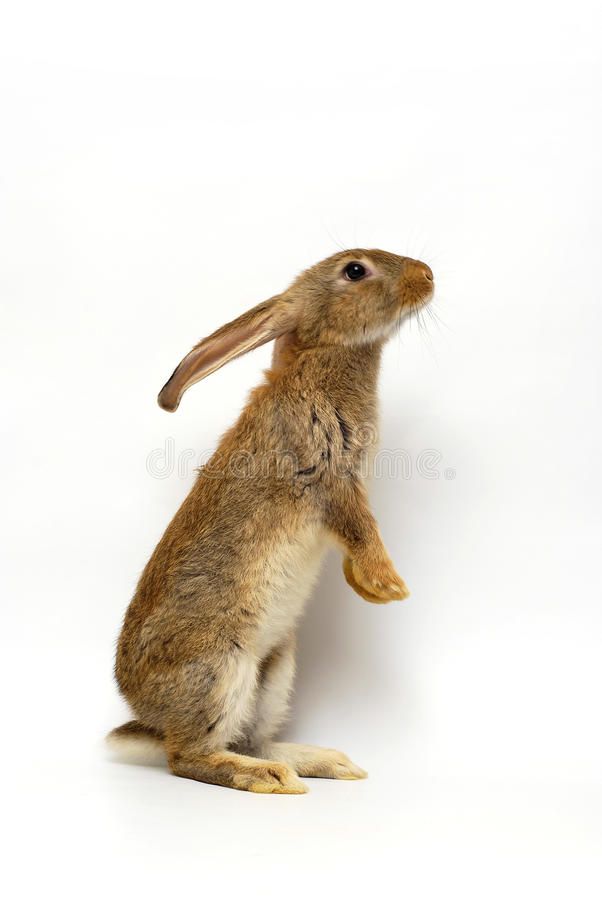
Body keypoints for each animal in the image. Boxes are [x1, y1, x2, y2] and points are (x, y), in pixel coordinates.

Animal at [108, 250, 432, 792]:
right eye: (355, 270)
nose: (427, 276)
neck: (319, 360)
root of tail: (150, 717)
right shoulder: (326, 470)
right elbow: (360, 527)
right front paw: (391, 587)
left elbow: (354, 537)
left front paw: (366, 587)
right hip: (220, 668)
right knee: (189, 757)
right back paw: (272, 779)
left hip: (275, 669)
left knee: (249, 739)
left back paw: (325, 762)